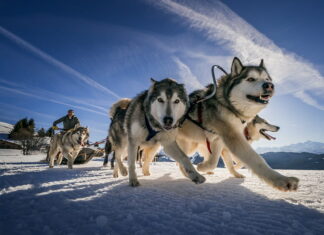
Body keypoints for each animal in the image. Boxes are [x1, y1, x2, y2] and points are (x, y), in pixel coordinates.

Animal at [177, 58, 298, 191]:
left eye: (267, 79)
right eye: (251, 79)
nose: (269, 85)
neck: (228, 105)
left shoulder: (219, 140)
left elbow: (218, 161)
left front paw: (210, 168)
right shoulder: (231, 139)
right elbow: (255, 159)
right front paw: (281, 180)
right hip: (189, 146)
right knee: (181, 160)